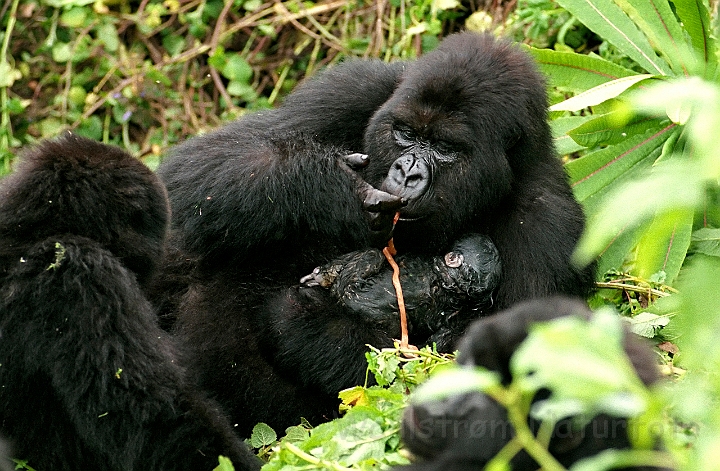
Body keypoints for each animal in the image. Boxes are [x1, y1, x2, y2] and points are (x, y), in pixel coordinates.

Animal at [153, 33, 596, 436]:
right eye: (406, 133)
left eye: (444, 147)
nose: (407, 172)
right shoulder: (351, 89)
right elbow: (191, 175)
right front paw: (330, 188)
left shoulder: (550, 233)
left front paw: (305, 321)